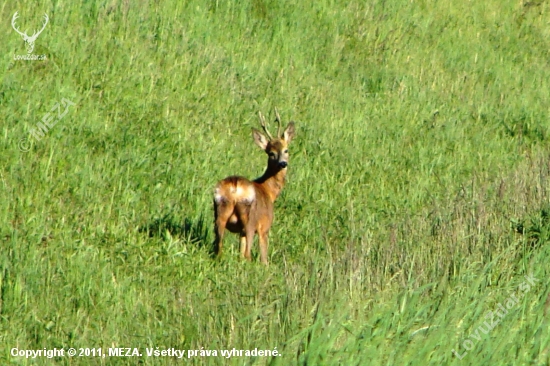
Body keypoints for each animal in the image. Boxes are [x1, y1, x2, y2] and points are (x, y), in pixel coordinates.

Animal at [213, 107, 298, 264]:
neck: (269, 191)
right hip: (250, 219)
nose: (283, 163)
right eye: (271, 153)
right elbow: (263, 257)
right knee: (247, 253)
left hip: (220, 212)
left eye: (286, 150)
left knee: (219, 247)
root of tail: (235, 186)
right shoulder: (265, 226)